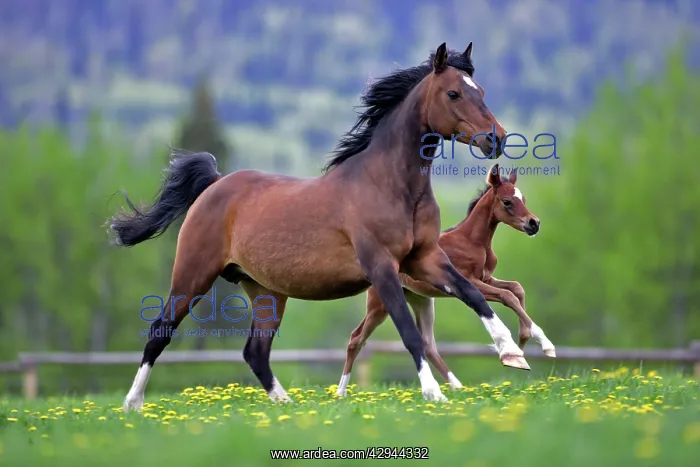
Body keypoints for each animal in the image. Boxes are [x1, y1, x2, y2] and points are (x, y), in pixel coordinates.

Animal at [109, 41, 525, 410]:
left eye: (480, 90)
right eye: (453, 93)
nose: (497, 138)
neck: (390, 185)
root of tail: (214, 184)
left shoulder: (425, 259)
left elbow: (473, 295)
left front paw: (513, 352)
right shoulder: (382, 269)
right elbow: (410, 333)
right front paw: (434, 393)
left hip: (266, 292)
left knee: (255, 351)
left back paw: (286, 404)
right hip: (193, 274)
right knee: (160, 331)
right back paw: (133, 404)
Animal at [335, 163, 556, 396]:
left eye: (524, 199)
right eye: (507, 201)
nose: (534, 224)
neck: (472, 241)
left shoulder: (486, 278)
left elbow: (517, 288)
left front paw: (524, 340)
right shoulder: (471, 282)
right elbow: (508, 296)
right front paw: (537, 346)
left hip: (421, 300)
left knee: (428, 344)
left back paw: (456, 387)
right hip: (379, 306)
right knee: (356, 338)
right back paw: (340, 392)